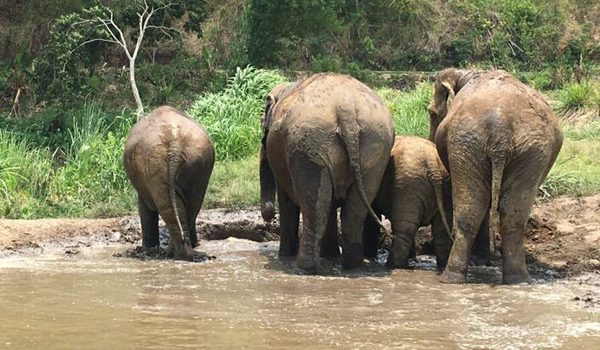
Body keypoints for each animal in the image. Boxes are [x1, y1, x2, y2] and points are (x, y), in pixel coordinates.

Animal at [123, 105, 214, 262]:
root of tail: (174, 146)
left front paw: (148, 248)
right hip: (194, 163)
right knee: (189, 206)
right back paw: (182, 254)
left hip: (154, 164)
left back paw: (176, 253)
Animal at [260, 72, 396, 272]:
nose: (269, 216)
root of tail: (346, 109)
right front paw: (330, 256)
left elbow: (287, 201)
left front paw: (284, 256)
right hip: (375, 146)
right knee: (352, 212)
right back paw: (353, 267)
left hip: (308, 145)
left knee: (315, 209)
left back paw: (303, 269)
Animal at [358, 135, 452, 270]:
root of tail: (432, 165)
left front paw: (369, 256)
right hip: (445, 186)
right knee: (441, 234)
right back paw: (441, 267)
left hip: (409, 186)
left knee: (404, 231)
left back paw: (393, 266)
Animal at [426, 69, 564, 284]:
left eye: (431, 113)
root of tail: (501, 130)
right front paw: (488, 257)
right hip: (529, 150)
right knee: (511, 216)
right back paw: (516, 279)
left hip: (471, 143)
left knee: (473, 211)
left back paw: (453, 277)